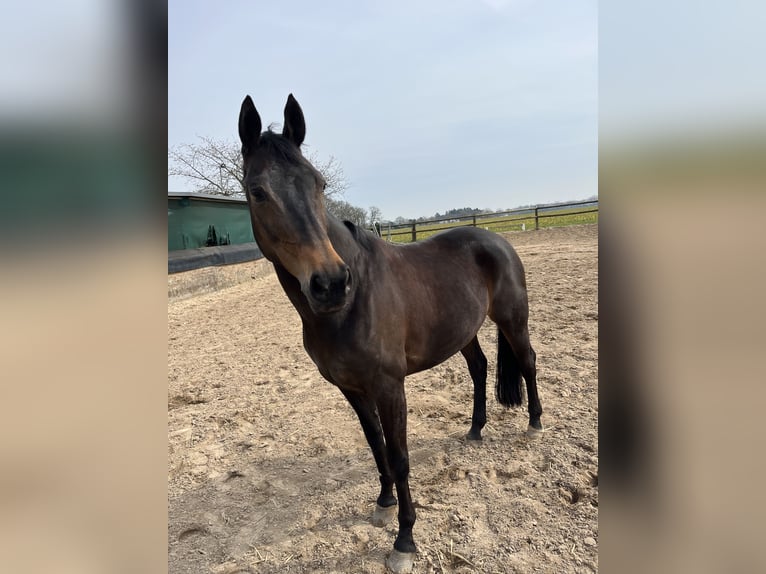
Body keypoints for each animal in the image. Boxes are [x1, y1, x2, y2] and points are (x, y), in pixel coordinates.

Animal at [237, 94, 543, 573]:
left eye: (319, 184)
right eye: (257, 191)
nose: (330, 284)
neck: (354, 300)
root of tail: (496, 238)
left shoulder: (389, 386)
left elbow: (399, 458)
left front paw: (404, 541)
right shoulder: (351, 388)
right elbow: (375, 445)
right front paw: (382, 504)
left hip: (513, 320)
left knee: (527, 361)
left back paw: (534, 424)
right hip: (464, 332)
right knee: (479, 368)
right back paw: (475, 430)